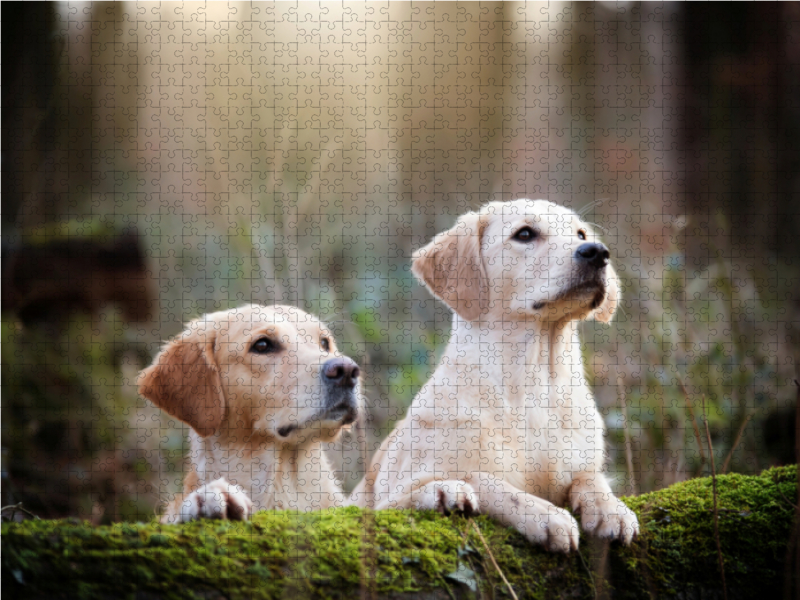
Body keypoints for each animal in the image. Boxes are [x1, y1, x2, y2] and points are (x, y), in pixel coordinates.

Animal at [354, 199, 640, 552]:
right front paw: (546, 515)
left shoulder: (579, 464)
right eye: (525, 233)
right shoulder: (386, 498)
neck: (534, 384)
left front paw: (611, 509)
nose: (598, 252)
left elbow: (591, 478)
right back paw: (446, 493)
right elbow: (487, 480)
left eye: (581, 234)